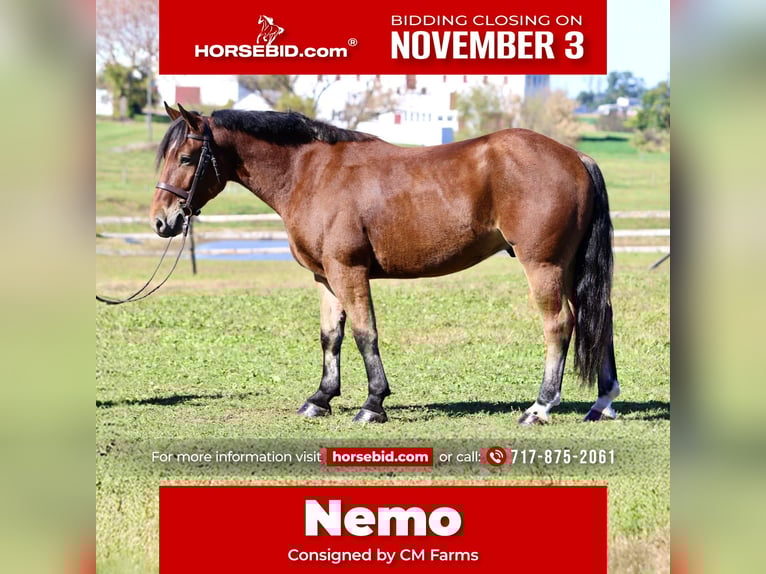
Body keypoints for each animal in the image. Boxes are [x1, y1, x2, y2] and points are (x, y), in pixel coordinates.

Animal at [151, 102, 621, 425]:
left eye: (186, 158)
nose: (161, 221)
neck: (311, 173)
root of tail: (576, 157)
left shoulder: (349, 271)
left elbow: (365, 334)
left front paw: (373, 403)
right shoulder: (325, 277)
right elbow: (331, 338)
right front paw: (320, 399)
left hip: (544, 266)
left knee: (559, 324)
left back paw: (540, 406)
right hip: (571, 268)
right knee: (601, 317)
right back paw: (602, 402)